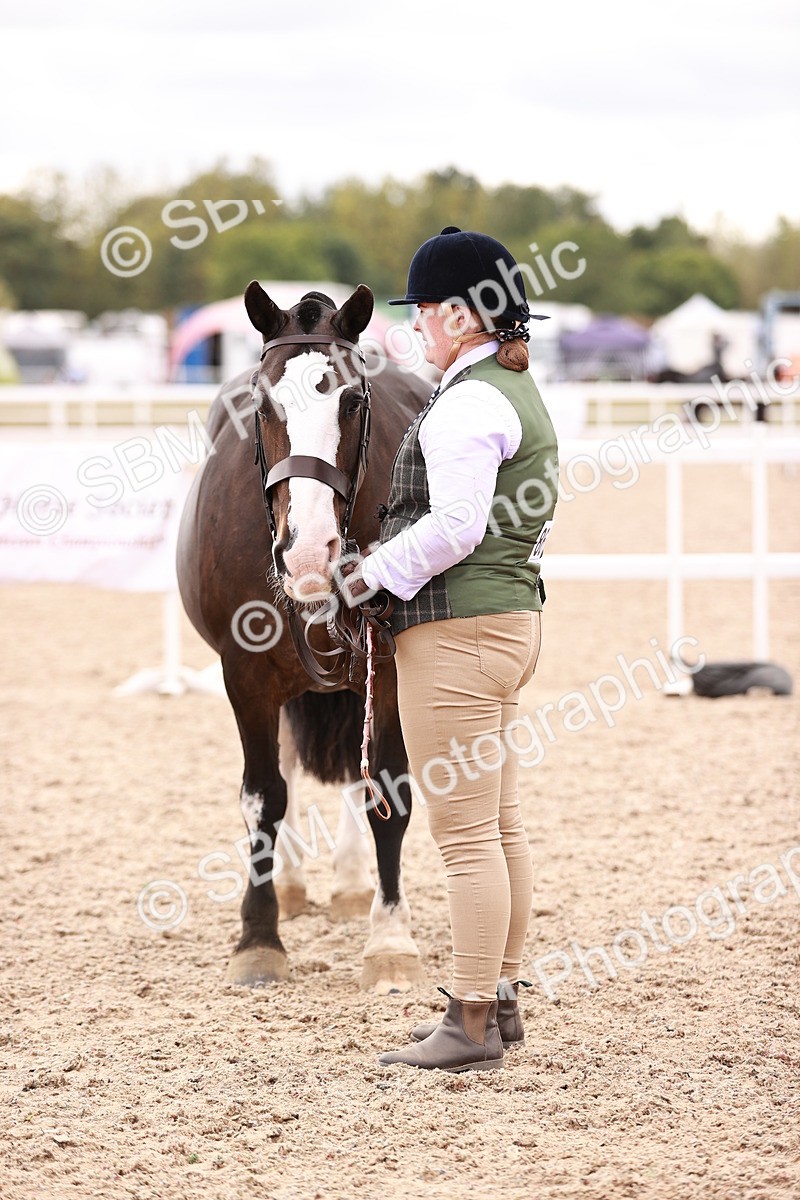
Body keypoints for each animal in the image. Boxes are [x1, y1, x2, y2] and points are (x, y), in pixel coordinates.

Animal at [176, 281, 432, 992]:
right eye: (264, 404)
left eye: (352, 400)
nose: (309, 553)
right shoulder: (245, 674)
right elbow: (264, 797)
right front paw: (258, 938)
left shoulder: (388, 666)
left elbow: (388, 790)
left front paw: (390, 941)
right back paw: (290, 887)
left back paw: (350, 886)